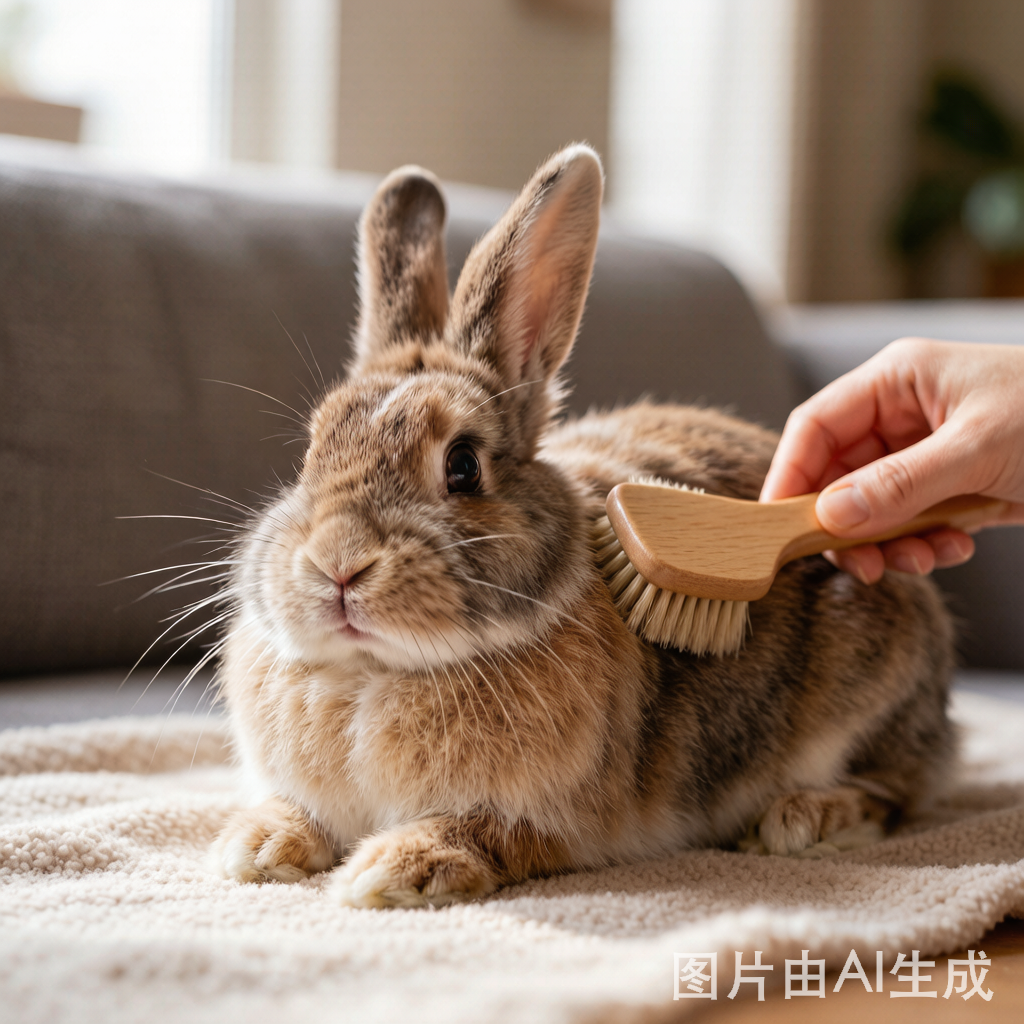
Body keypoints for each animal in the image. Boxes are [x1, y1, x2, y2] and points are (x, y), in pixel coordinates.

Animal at [210, 144, 955, 907]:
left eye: (462, 466)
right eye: (310, 451)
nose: (338, 564)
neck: (373, 671)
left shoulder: (553, 823)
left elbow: (483, 832)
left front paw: (390, 871)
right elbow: (294, 812)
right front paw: (255, 847)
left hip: (864, 686)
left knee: (897, 791)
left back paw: (804, 818)